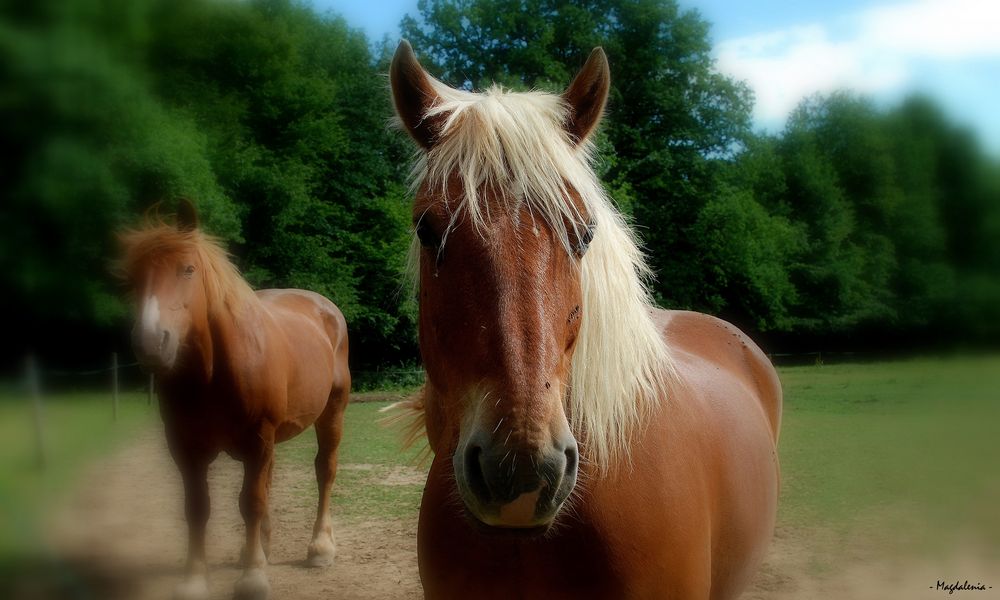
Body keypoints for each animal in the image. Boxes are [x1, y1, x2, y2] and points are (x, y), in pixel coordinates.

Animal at [121, 203, 352, 600]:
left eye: (188, 268)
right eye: (134, 277)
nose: (151, 343)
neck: (214, 373)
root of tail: (325, 308)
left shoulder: (258, 439)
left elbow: (251, 503)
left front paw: (253, 577)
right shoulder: (185, 446)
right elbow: (197, 508)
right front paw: (194, 580)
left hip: (331, 415)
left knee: (325, 470)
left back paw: (320, 547)